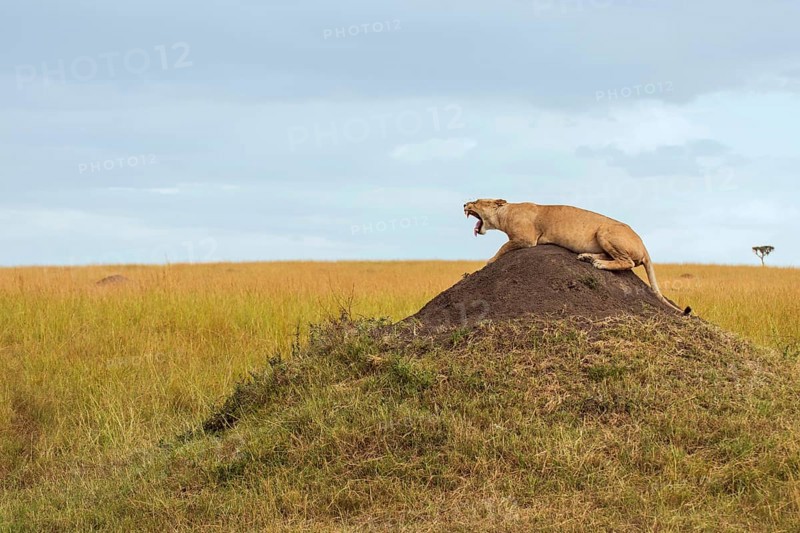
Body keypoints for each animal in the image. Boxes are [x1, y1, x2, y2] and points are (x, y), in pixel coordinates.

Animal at [463, 199, 690, 315]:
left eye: (476, 201)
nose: (464, 204)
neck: (504, 213)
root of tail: (644, 245)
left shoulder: (526, 239)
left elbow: (503, 247)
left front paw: (489, 262)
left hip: (605, 231)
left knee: (626, 262)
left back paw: (599, 264)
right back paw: (587, 257)